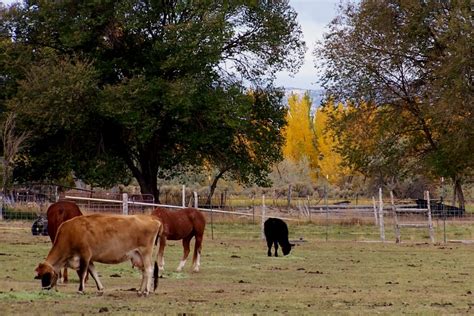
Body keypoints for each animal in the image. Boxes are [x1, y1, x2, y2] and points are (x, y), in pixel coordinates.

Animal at [34, 214, 163, 296]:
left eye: (46, 275)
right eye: (39, 276)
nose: (44, 289)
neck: (70, 233)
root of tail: (152, 219)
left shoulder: (85, 255)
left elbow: (83, 273)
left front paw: (80, 290)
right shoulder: (90, 259)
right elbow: (94, 273)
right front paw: (100, 289)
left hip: (145, 252)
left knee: (149, 269)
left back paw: (146, 291)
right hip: (138, 255)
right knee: (144, 272)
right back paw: (140, 290)